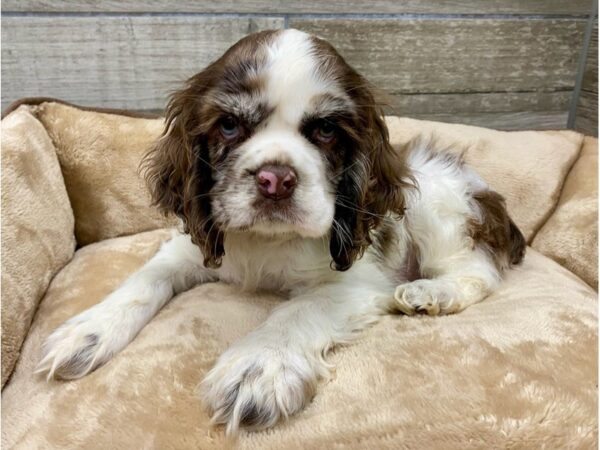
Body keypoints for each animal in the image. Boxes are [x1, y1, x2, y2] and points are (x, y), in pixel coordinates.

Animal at [37, 29, 524, 436]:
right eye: (229, 125)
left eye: (326, 130)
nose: (275, 179)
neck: (265, 241)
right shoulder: (190, 247)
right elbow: (144, 279)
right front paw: (88, 329)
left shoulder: (356, 280)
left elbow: (295, 312)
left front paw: (258, 367)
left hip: (438, 198)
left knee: (478, 271)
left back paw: (431, 293)